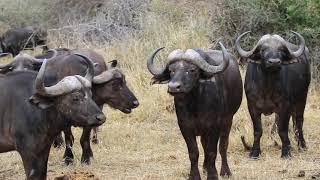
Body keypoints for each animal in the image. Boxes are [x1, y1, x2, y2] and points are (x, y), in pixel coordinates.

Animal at [148, 43, 242, 179]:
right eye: (171, 70)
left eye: (192, 70)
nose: (173, 87)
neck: (195, 105)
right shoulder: (185, 127)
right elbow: (193, 152)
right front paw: (194, 175)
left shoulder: (214, 126)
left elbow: (212, 151)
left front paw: (213, 175)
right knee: (203, 144)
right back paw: (205, 167)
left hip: (228, 120)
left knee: (223, 145)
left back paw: (225, 171)